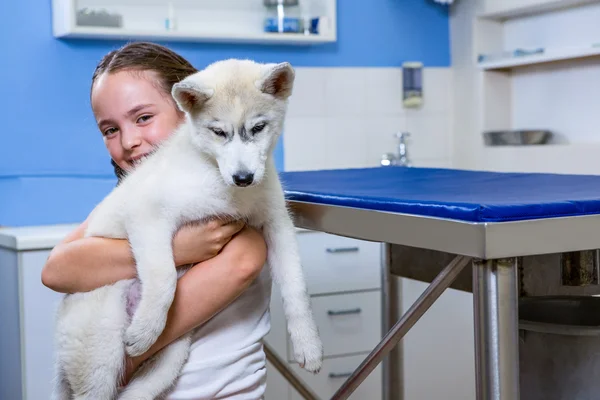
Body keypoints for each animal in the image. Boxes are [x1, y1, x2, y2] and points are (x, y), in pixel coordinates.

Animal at [51, 57, 324, 398]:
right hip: (101, 350)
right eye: (218, 132)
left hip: (171, 356)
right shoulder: (148, 212)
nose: (244, 178)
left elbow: (296, 287)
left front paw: (308, 345)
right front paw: (145, 329)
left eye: (258, 128)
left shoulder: (277, 223)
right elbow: (165, 276)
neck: (219, 179)